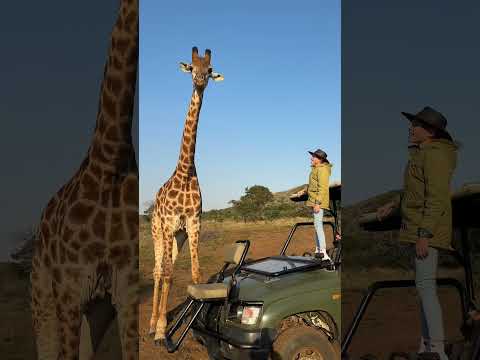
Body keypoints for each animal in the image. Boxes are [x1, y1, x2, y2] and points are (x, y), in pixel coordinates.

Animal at [30, 1, 139, 358]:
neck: (110, 166)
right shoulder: (68, 289)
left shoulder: (126, 290)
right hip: (41, 291)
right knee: (46, 346)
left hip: (97, 306)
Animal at [149, 46, 224, 342]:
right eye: (192, 68)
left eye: (210, 68)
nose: (200, 79)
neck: (185, 173)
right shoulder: (169, 224)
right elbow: (168, 274)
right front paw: (161, 330)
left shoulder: (193, 224)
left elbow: (195, 273)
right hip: (158, 231)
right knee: (158, 270)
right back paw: (151, 324)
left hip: (177, 236)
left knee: (165, 269)